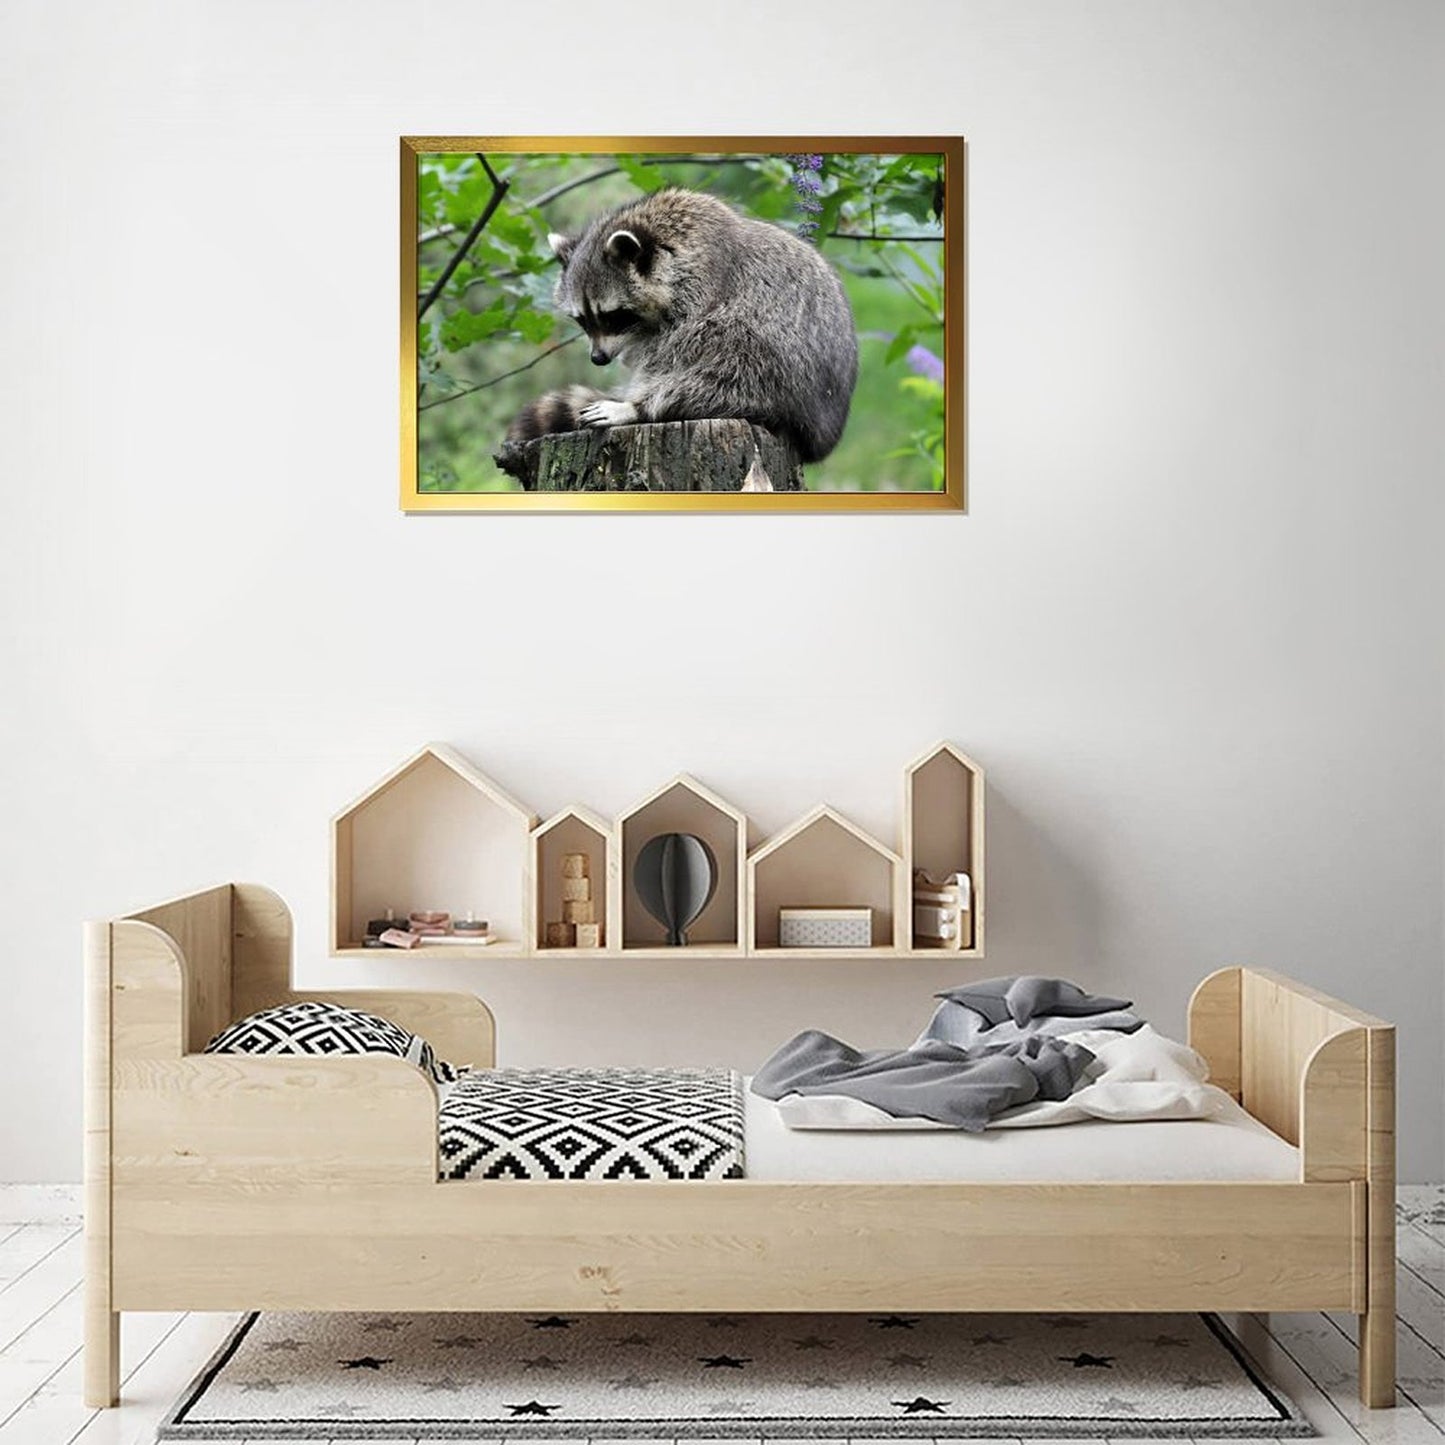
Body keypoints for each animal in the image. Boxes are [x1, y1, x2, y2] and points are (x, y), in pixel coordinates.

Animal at [506, 187, 859, 463]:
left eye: (613, 316)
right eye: (582, 319)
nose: (598, 358)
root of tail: (824, 435)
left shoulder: (702, 287)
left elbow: (672, 350)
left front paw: (638, 403)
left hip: (775, 364)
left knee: (730, 362)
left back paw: (642, 407)